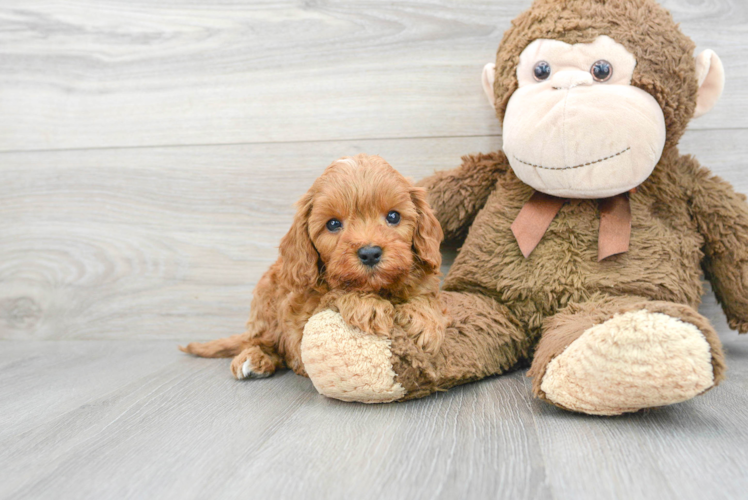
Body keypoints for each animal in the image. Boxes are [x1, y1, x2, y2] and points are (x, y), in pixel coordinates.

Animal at [180, 152, 450, 378]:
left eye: (393, 216)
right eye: (333, 224)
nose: (370, 253)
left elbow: (426, 298)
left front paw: (424, 320)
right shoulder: (300, 330)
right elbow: (334, 294)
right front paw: (367, 305)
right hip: (264, 304)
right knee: (259, 340)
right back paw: (254, 358)